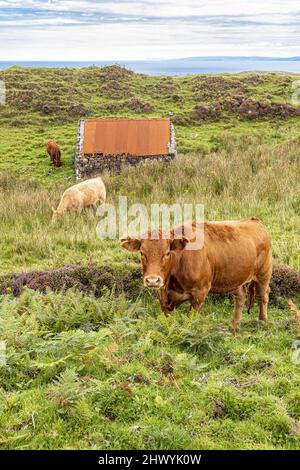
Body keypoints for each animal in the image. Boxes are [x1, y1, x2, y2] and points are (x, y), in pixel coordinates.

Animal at [120, 219, 274, 326]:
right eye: (142, 253)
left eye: (167, 253)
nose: (152, 280)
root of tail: (254, 221)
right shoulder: (163, 297)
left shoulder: (200, 292)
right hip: (236, 278)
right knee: (240, 297)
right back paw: (234, 325)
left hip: (264, 274)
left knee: (263, 295)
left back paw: (262, 322)